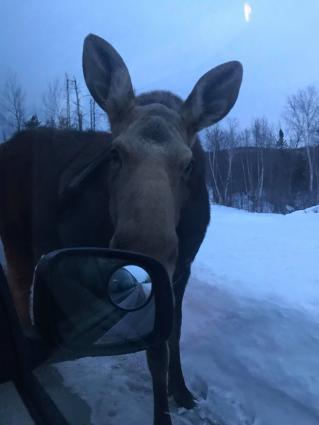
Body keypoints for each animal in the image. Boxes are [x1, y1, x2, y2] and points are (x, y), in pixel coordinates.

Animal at [0, 35, 242, 424]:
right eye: (115, 154)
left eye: (188, 164)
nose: (145, 249)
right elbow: (155, 349)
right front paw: (163, 411)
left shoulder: (181, 269)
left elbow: (174, 335)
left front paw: (182, 392)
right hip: (15, 235)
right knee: (20, 286)